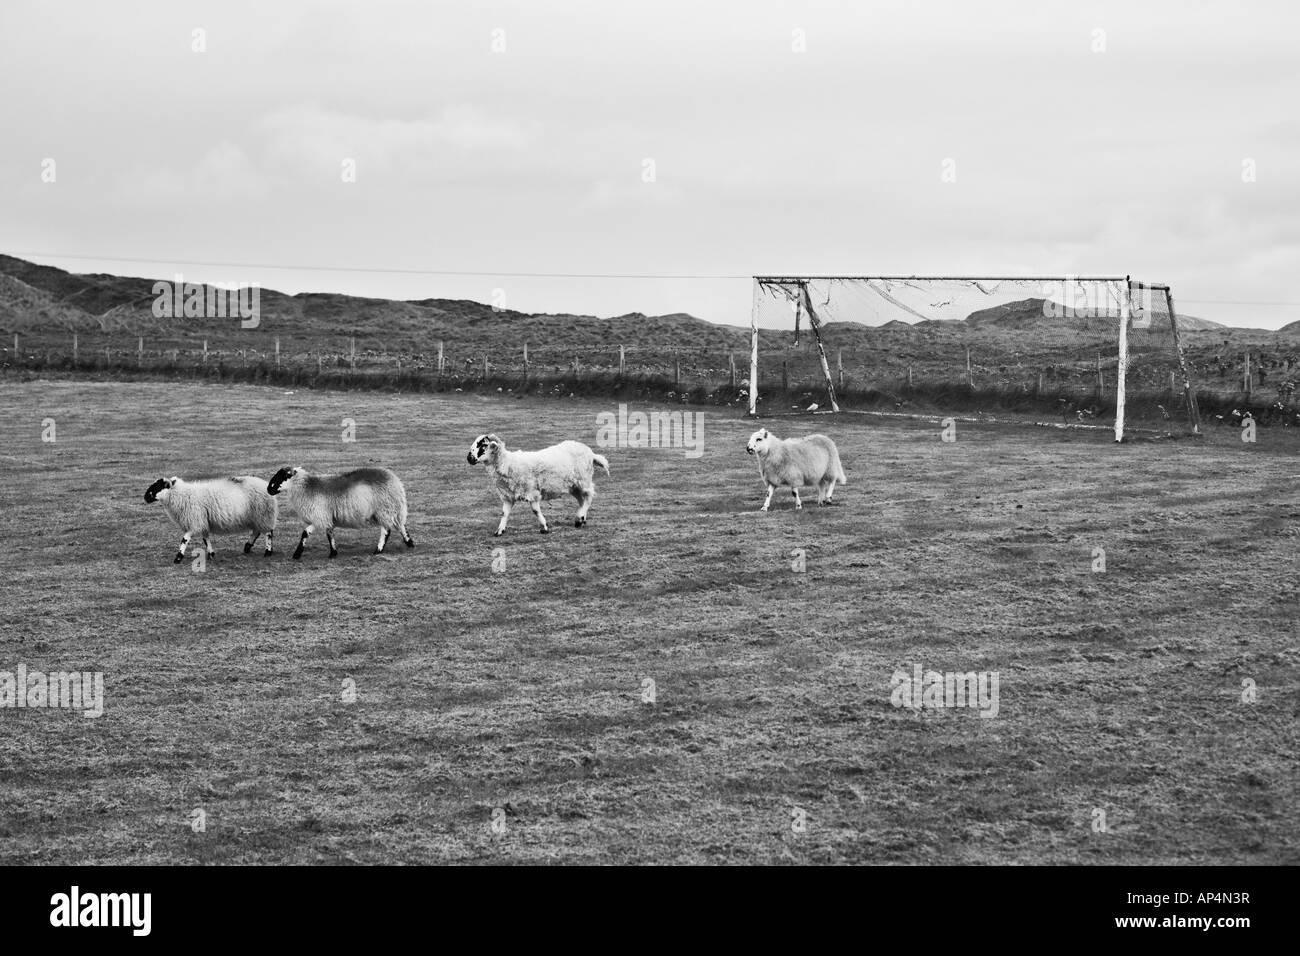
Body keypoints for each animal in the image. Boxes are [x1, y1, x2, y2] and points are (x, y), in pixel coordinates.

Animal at [143, 476, 278, 564]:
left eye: (158, 487)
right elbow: (205, 539)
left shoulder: (195, 521)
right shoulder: (203, 522)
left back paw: (267, 551)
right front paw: (211, 554)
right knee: (257, 531)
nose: (145, 497)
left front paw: (178, 557)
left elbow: (184, 539)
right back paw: (248, 547)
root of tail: (264, 484)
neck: (183, 495)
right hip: (256, 516)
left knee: (268, 533)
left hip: (263, 513)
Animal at [270, 465, 416, 561]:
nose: (268, 490)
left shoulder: (320, 517)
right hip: (392, 509)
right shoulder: (327, 517)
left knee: (386, 530)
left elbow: (305, 533)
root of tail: (395, 480)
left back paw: (378, 550)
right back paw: (409, 543)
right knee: (401, 525)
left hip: (384, 508)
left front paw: (296, 554)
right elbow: (330, 534)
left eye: (282, 476)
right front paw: (333, 553)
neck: (306, 487)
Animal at [467, 434, 608, 535]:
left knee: (588, 498)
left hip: (583, 480)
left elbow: (535, 511)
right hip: (573, 486)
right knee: (581, 500)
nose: (469, 458)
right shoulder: (508, 496)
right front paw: (499, 530)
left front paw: (544, 528)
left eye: (483, 446)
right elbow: (504, 513)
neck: (508, 463)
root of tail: (591, 453)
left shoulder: (532, 492)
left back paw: (579, 519)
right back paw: (582, 518)